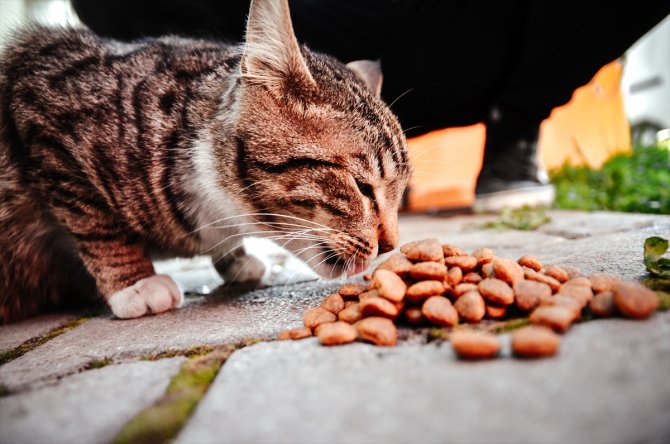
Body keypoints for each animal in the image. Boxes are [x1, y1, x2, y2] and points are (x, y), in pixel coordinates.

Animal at [0, 0, 412, 320]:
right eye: (362, 187)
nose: (390, 246)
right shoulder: (43, 118)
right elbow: (94, 220)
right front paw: (134, 282)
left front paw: (234, 258)